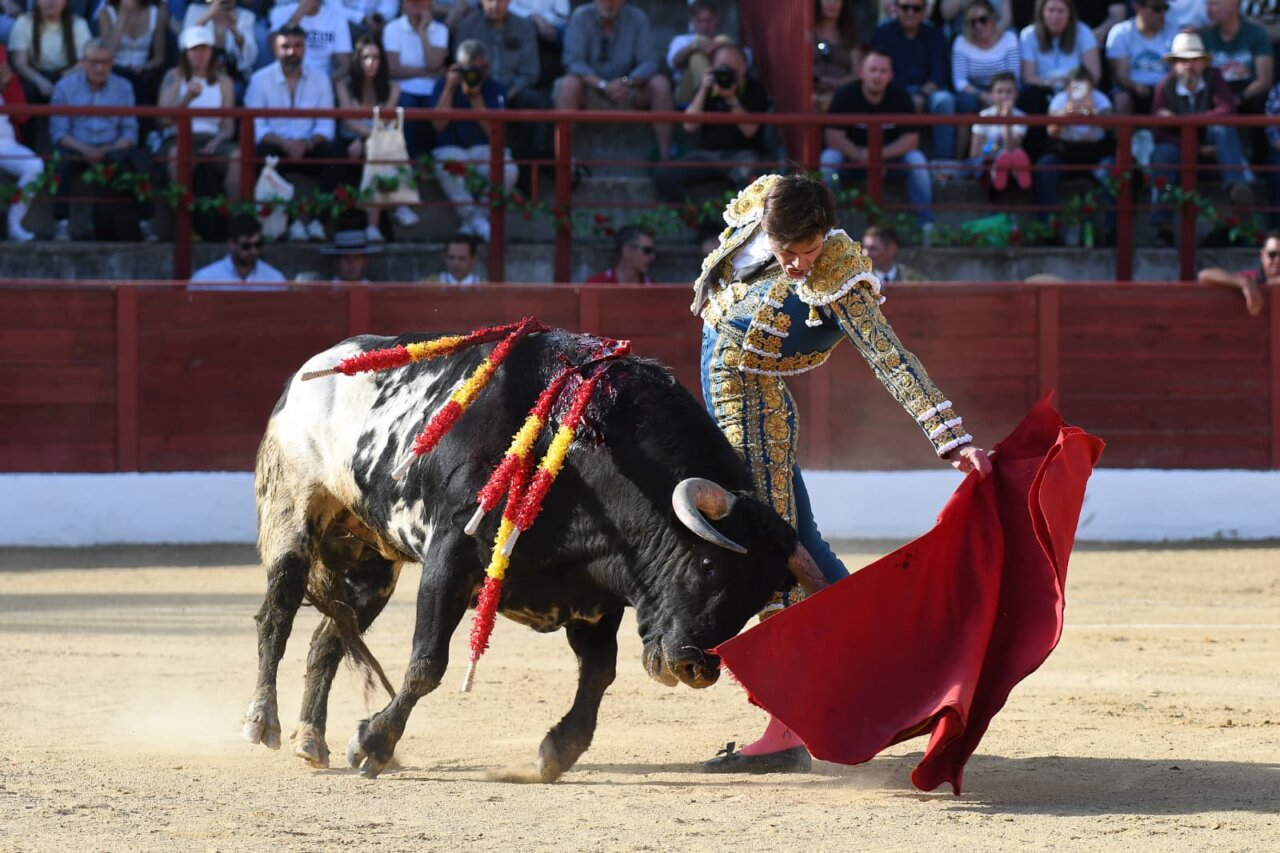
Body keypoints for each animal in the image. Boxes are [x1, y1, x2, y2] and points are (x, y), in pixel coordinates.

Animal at [242, 330, 826, 781]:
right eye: (708, 564)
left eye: (762, 594)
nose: (696, 667)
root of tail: (311, 370)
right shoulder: (451, 556)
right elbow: (428, 663)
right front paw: (373, 745)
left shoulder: (595, 593)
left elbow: (598, 674)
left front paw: (556, 752)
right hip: (292, 516)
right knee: (278, 615)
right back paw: (263, 722)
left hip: (369, 564)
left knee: (328, 638)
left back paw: (310, 740)